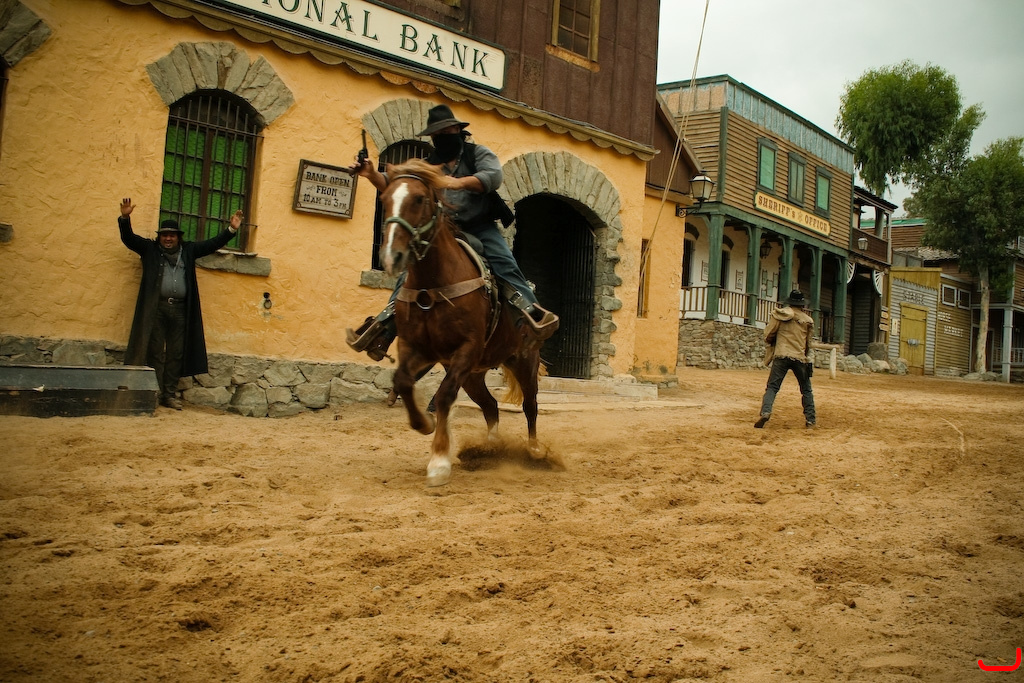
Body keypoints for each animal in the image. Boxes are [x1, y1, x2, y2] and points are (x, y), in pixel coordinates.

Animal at [377, 159, 545, 487]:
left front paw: (439, 461)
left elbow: (443, 396)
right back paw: (490, 448)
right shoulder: (415, 347)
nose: (392, 257)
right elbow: (403, 381)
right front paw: (424, 423)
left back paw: (534, 450)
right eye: (385, 198)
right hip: (474, 376)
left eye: (419, 199)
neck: (432, 284)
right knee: (490, 406)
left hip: (523, 361)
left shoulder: (466, 349)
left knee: (530, 406)